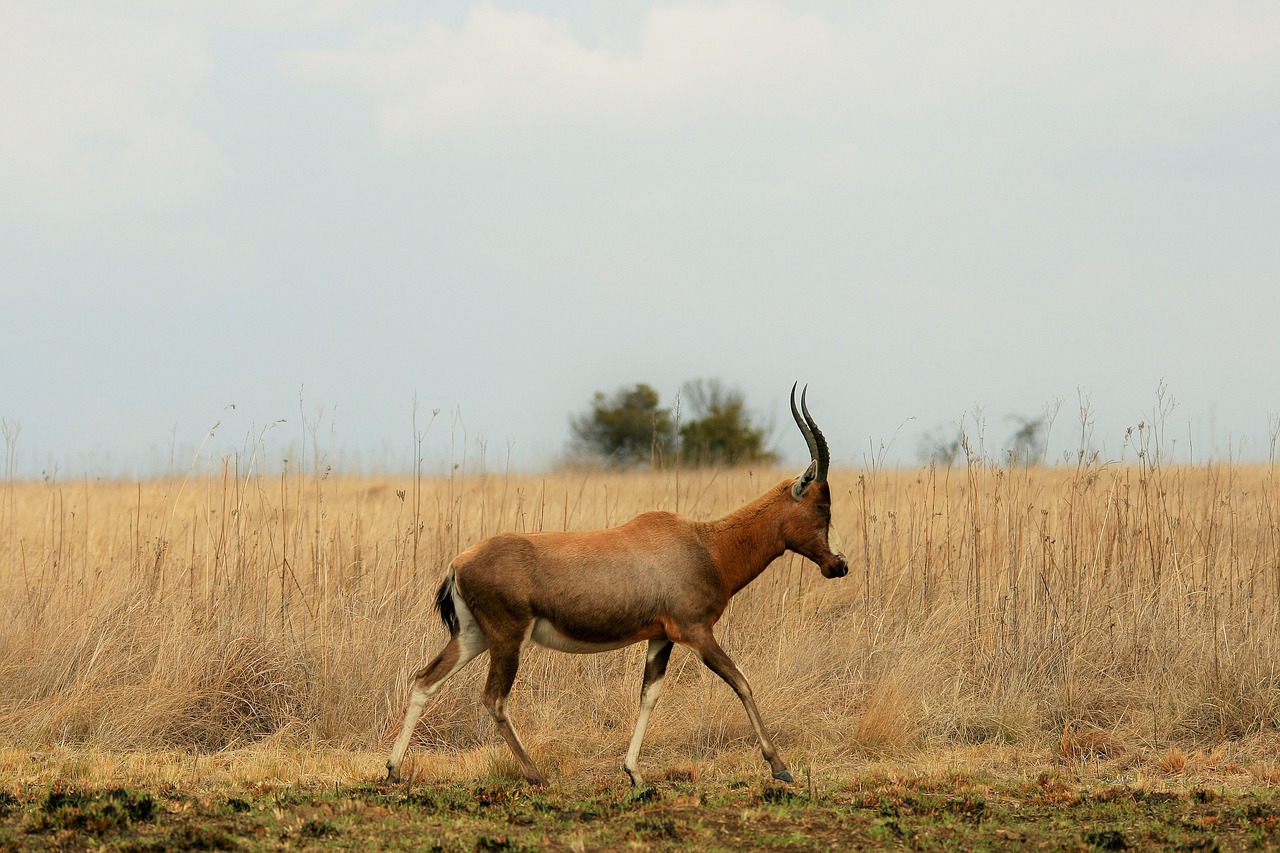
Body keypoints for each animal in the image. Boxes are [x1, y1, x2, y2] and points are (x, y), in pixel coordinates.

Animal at [389, 379, 849, 783]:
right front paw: (781, 768)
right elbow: (741, 681)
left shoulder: (660, 637)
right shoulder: (696, 632)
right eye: (822, 505)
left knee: (424, 679)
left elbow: (649, 696)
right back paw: (537, 775)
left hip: (473, 636)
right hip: (507, 638)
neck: (704, 544)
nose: (837, 565)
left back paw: (393, 770)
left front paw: (634, 773)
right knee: (494, 699)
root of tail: (458, 563)